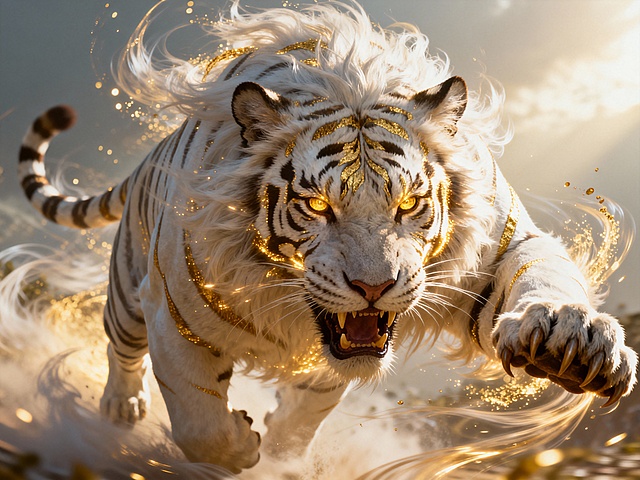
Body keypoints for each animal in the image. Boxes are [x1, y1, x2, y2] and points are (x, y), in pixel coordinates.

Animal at [17, 1, 637, 473]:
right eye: (317, 206)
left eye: (408, 204)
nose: (374, 288)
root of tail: (150, 157)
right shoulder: (173, 307)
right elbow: (198, 422)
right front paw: (241, 447)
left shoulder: (497, 248)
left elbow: (543, 277)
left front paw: (570, 339)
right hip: (128, 290)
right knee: (121, 349)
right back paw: (120, 408)